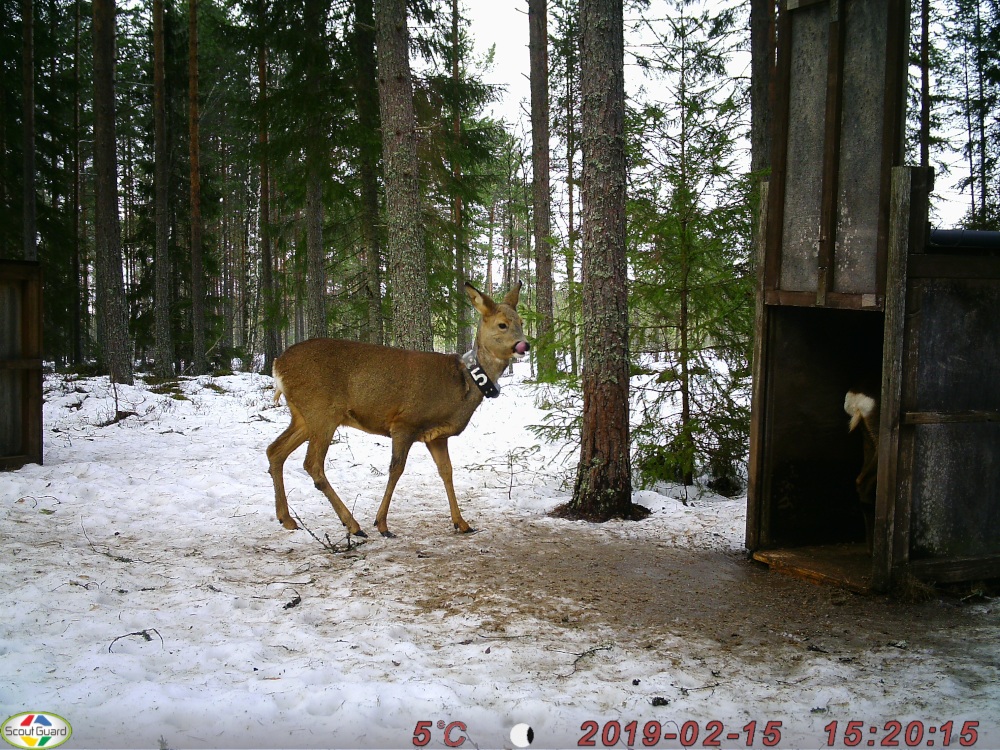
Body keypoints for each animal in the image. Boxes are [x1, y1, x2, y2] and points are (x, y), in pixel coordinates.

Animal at [266, 284, 532, 536]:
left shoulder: (437, 436)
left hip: (303, 416)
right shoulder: (405, 422)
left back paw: (287, 519)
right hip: (322, 411)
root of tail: (277, 365)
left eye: (521, 322)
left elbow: (446, 472)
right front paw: (382, 524)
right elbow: (396, 469)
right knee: (312, 464)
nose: (525, 344)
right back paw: (353, 524)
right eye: (502, 324)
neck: (464, 383)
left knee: (275, 450)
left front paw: (462, 523)